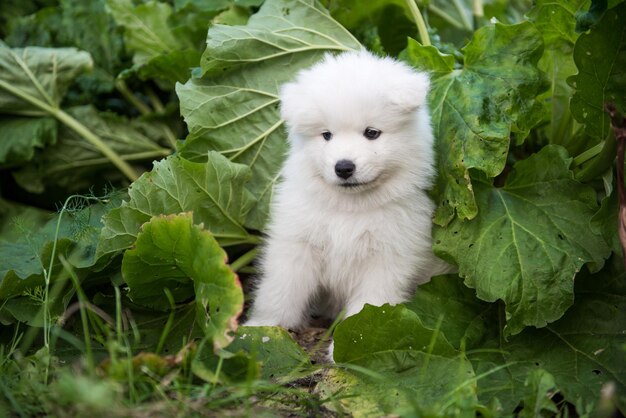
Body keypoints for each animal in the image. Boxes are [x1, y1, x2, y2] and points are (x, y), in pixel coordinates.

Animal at [244, 51, 444, 340]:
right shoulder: (297, 244)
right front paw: (261, 329)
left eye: (371, 133)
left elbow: (370, 307)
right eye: (326, 135)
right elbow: (281, 289)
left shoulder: (388, 259)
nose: (344, 167)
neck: (349, 209)